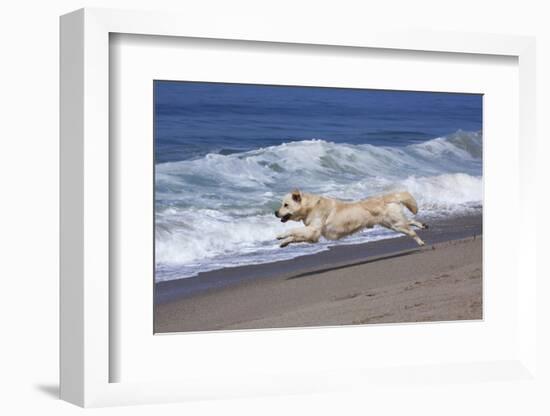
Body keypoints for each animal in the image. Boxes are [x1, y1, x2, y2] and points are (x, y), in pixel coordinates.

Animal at [274, 190, 426, 249]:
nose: (275, 212)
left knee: (411, 231)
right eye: (281, 204)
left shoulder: (313, 230)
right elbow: (295, 236)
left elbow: (293, 229)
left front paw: (281, 235)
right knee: (409, 221)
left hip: (395, 224)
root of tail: (386, 197)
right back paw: (423, 225)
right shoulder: (312, 236)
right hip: (391, 224)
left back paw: (421, 242)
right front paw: (284, 242)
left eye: (285, 205)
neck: (311, 207)